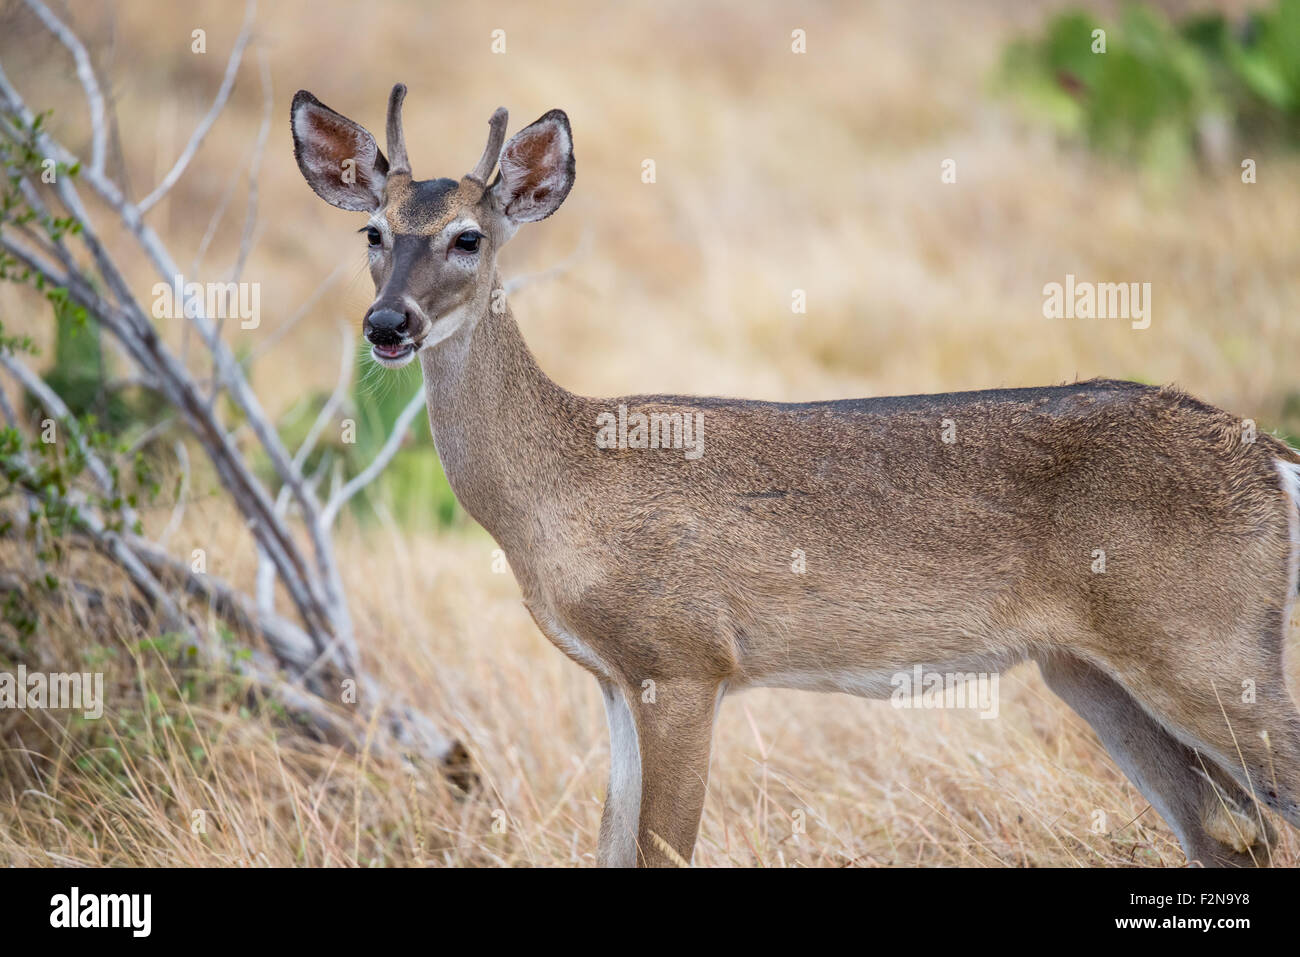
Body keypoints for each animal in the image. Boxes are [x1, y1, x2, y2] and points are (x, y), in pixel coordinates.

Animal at [289, 85, 1300, 868]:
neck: (559, 487)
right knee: (1226, 829)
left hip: (1208, 645)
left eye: (468, 237)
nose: (388, 324)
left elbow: (662, 849)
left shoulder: (687, 656)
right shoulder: (616, 676)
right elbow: (610, 845)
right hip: (1091, 669)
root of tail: (1272, 456)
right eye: (373, 230)